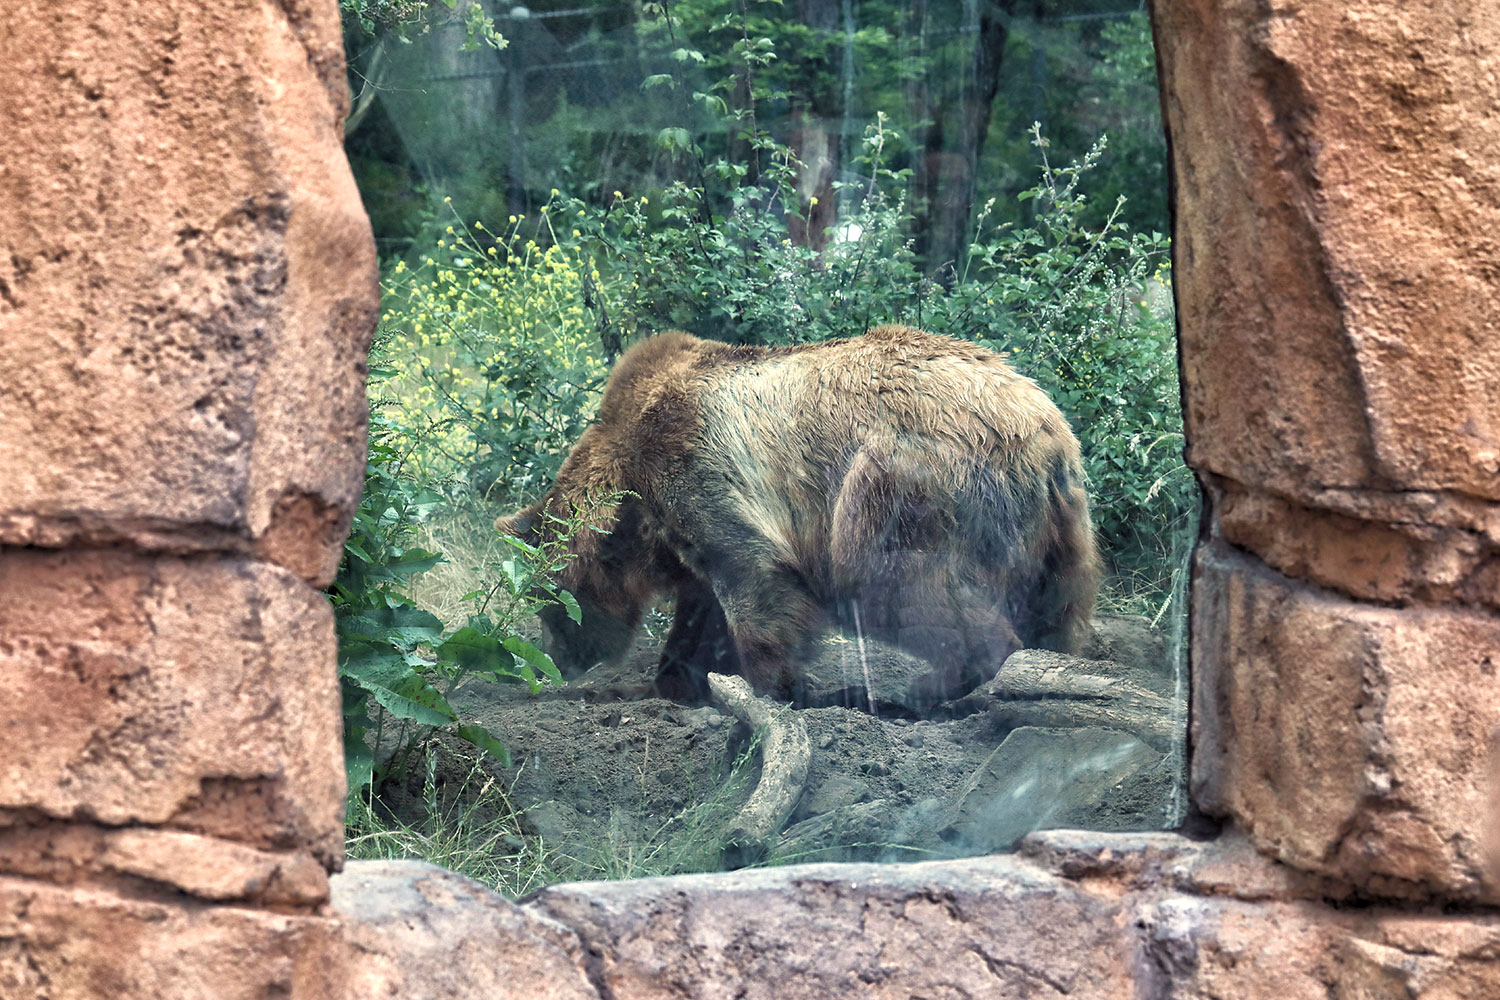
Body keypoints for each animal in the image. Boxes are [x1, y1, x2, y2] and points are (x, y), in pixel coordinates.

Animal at [498, 325, 1098, 707]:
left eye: (548, 601)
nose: (554, 660)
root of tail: (1044, 428)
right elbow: (702, 613)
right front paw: (673, 681)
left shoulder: (697, 468)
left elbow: (755, 585)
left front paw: (777, 688)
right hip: (1063, 531)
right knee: (1057, 610)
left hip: (906, 482)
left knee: (893, 579)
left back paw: (932, 686)